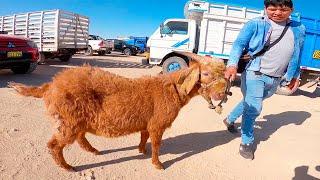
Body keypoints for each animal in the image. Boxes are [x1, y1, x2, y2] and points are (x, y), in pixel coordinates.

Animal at [9, 52, 228, 172]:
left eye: (224, 74)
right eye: (205, 73)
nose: (222, 93)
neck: (172, 88)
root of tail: (51, 85)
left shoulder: (146, 122)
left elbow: (144, 135)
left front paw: (141, 150)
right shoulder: (157, 124)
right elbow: (157, 144)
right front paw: (157, 164)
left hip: (77, 119)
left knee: (79, 136)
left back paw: (93, 151)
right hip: (69, 119)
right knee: (54, 144)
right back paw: (68, 167)